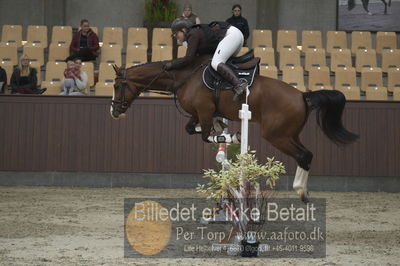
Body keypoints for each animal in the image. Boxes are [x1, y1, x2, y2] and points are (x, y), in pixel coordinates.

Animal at [110, 55, 360, 203]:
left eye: (116, 85)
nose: (113, 111)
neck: (183, 78)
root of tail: (303, 95)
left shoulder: (204, 111)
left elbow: (205, 135)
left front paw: (230, 135)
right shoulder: (197, 114)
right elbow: (192, 129)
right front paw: (225, 131)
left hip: (276, 135)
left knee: (304, 155)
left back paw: (301, 190)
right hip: (290, 133)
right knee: (306, 154)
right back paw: (304, 191)